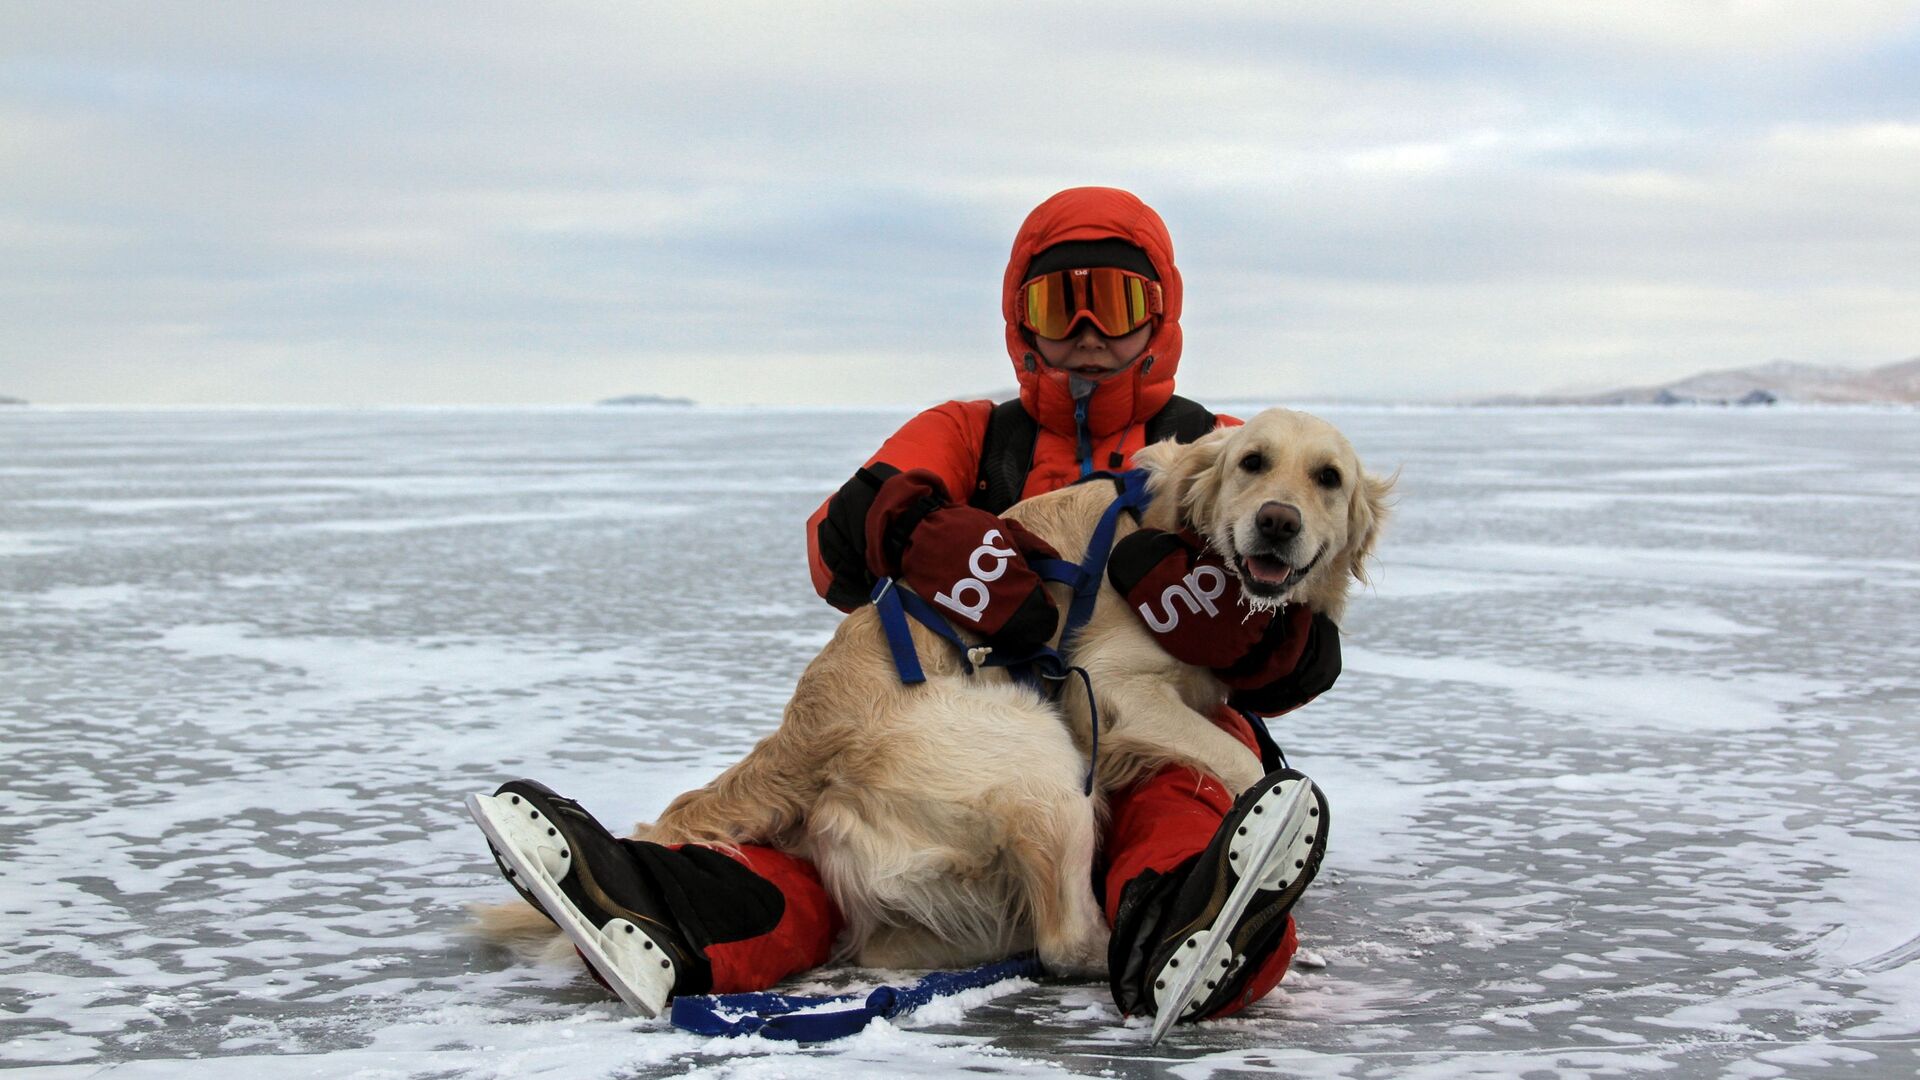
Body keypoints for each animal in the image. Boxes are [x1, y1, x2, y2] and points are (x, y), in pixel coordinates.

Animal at [472, 409, 1390, 983]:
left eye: (1328, 478)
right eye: (1252, 463)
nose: (1277, 523)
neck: (1179, 539)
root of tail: (807, 742)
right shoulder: (1116, 691)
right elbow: (1240, 757)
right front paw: (1275, 816)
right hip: (1037, 751)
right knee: (1064, 942)